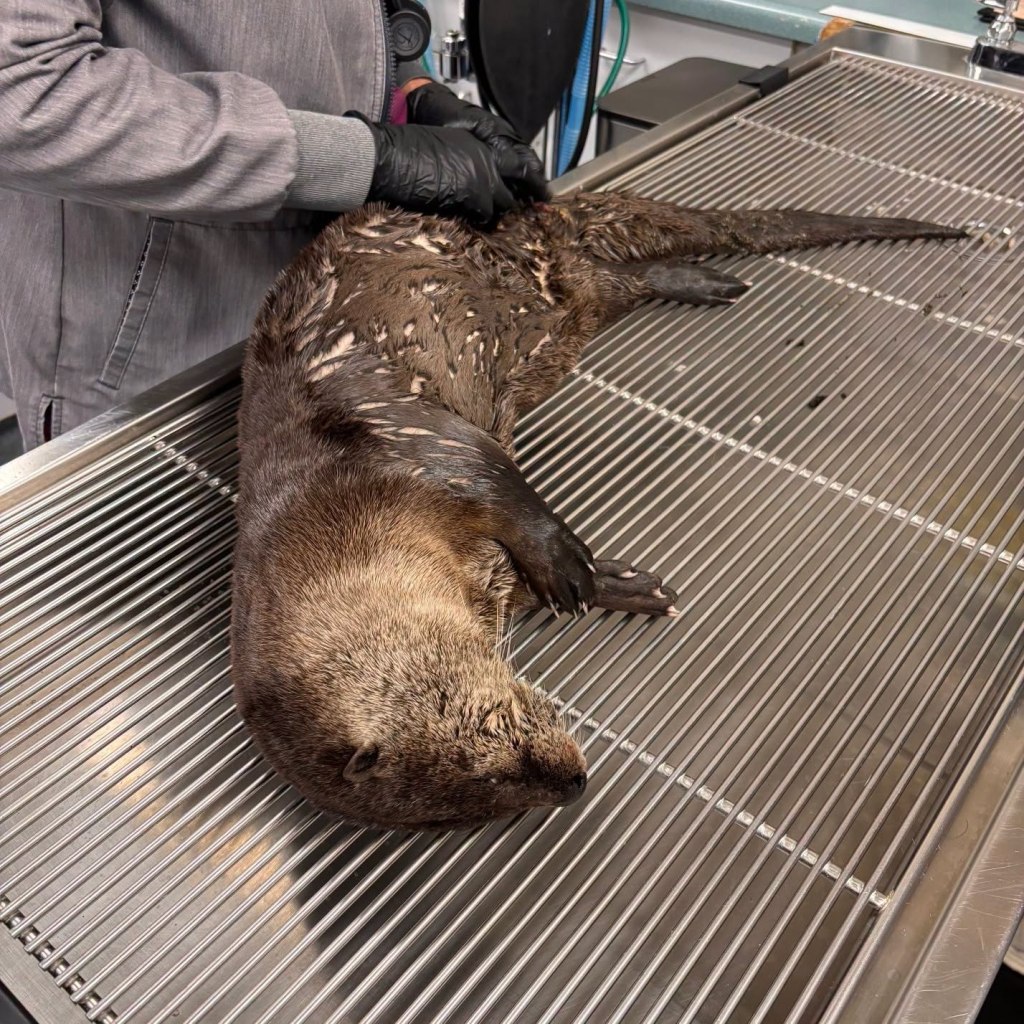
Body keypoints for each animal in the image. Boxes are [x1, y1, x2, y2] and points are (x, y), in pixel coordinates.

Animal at [231, 191, 964, 830]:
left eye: (489, 732)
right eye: (458, 814)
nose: (574, 783)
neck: (339, 513)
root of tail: (526, 233)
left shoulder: (403, 438)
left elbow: (497, 482)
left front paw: (575, 570)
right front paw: (625, 585)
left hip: (549, 280)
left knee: (617, 276)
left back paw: (701, 281)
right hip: (568, 311)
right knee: (610, 284)